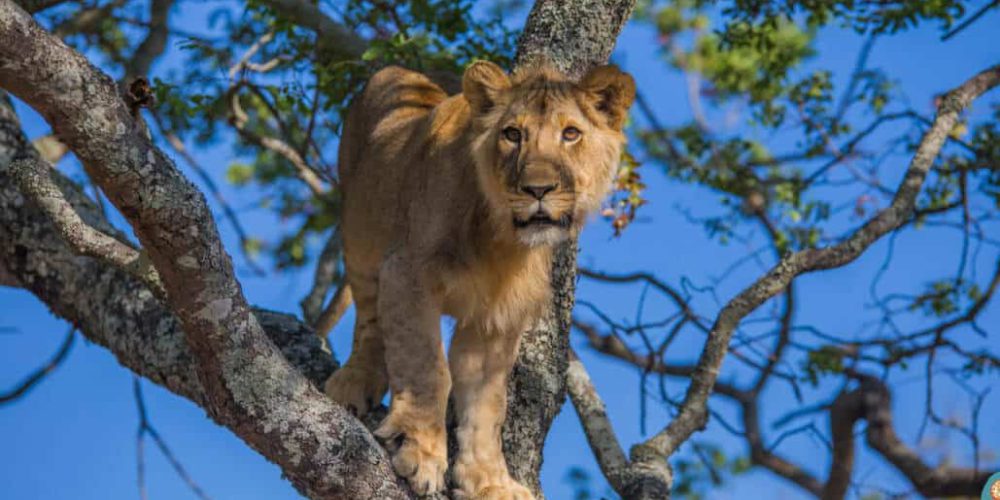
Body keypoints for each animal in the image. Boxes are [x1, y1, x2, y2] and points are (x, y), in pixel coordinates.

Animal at [322, 60, 632, 498]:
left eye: (571, 134)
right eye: (512, 134)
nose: (538, 189)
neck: (500, 237)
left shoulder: (497, 317)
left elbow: (487, 407)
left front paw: (488, 481)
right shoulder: (408, 270)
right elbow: (428, 368)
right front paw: (420, 451)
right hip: (362, 232)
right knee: (370, 320)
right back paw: (354, 381)